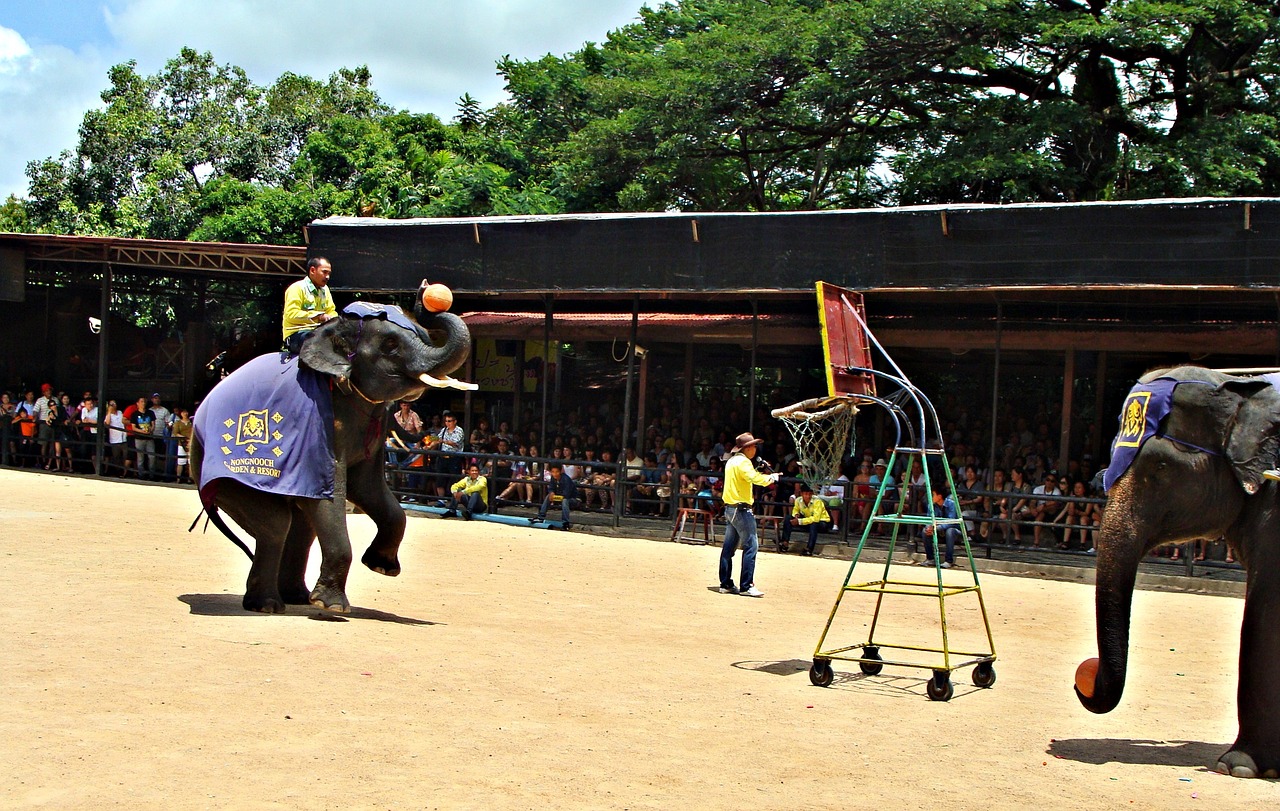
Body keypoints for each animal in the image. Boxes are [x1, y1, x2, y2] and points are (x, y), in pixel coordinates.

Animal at [189, 289, 471, 611]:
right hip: (221, 472)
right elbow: (331, 491)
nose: (427, 295)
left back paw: (295, 598)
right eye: (390, 345)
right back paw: (268, 605)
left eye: (422, 335)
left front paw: (381, 567)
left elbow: (368, 488)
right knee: (276, 523)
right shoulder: (320, 425)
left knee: (300, 527)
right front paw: (331, 607)